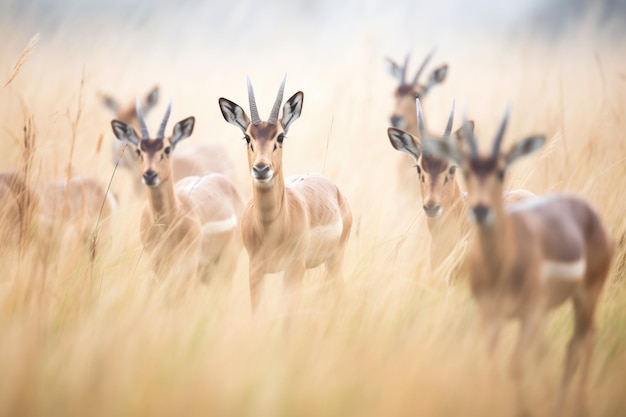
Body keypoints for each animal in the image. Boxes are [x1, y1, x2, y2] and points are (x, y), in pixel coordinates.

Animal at [218, 75, 352, 310]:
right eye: (247, 137)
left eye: (280, 137)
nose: (261, 169)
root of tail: (334, 190)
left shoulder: (294, 269)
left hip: (334, 259)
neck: (271, 229)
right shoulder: (255, 271)